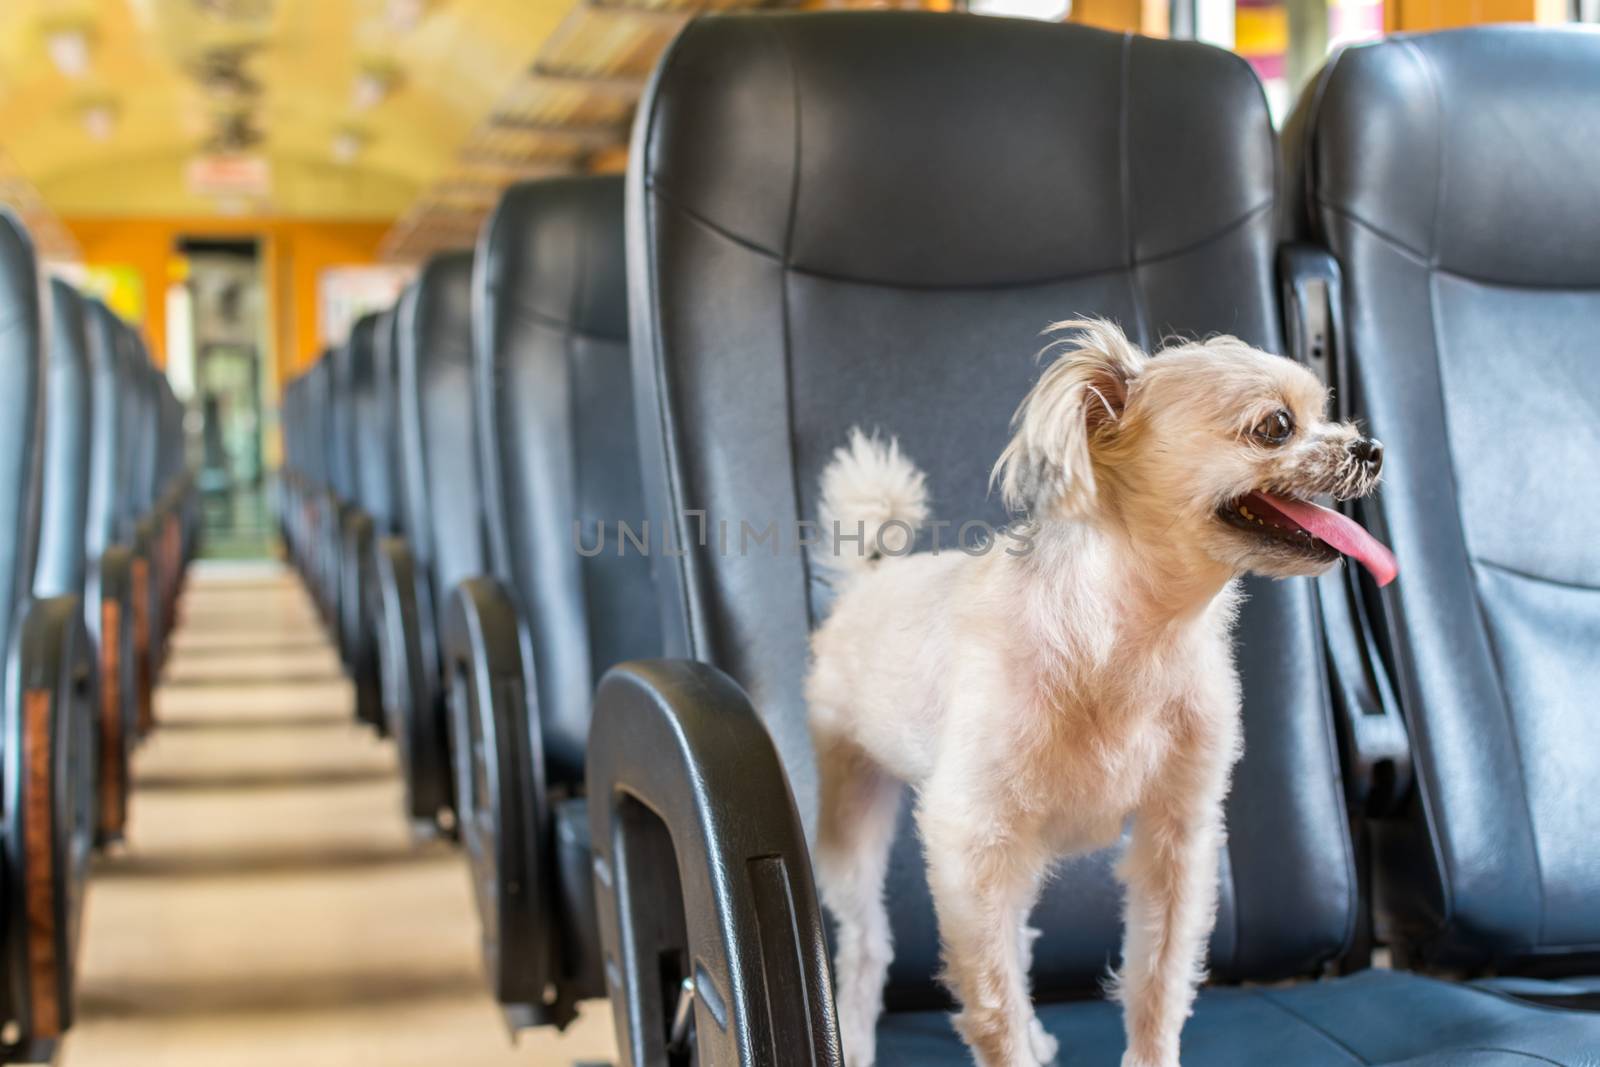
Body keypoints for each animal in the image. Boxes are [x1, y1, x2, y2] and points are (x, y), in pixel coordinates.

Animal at [806, 321, 1395, 1067]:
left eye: (1328, 414)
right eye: (1276, 427)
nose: (1370, 448)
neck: (1130, 639)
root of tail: (872, 577)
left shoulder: (1176, 837)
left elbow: (1158, 982)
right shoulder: (970, 838)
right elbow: (992, 1004)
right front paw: (1013, 1045)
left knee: (1018, 939)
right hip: (856, 812)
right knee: (870, 943)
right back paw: (853, 1035)